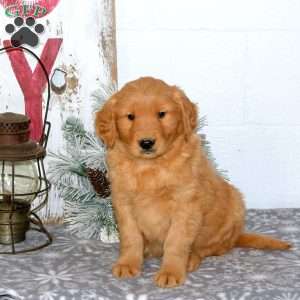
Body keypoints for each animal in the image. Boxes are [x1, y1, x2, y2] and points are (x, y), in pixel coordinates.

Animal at [94, 76, 290, 288]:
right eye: (130, 116)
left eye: (162, 114)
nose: (146, 143)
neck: (150, 167)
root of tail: (237, 236)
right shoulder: (123, 202)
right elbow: (131, 237)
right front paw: (128, 263)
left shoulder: (185, 205)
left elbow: (176, 241)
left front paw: (171, 271)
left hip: (234, 207)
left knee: (212, 248)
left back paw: (191, 258)